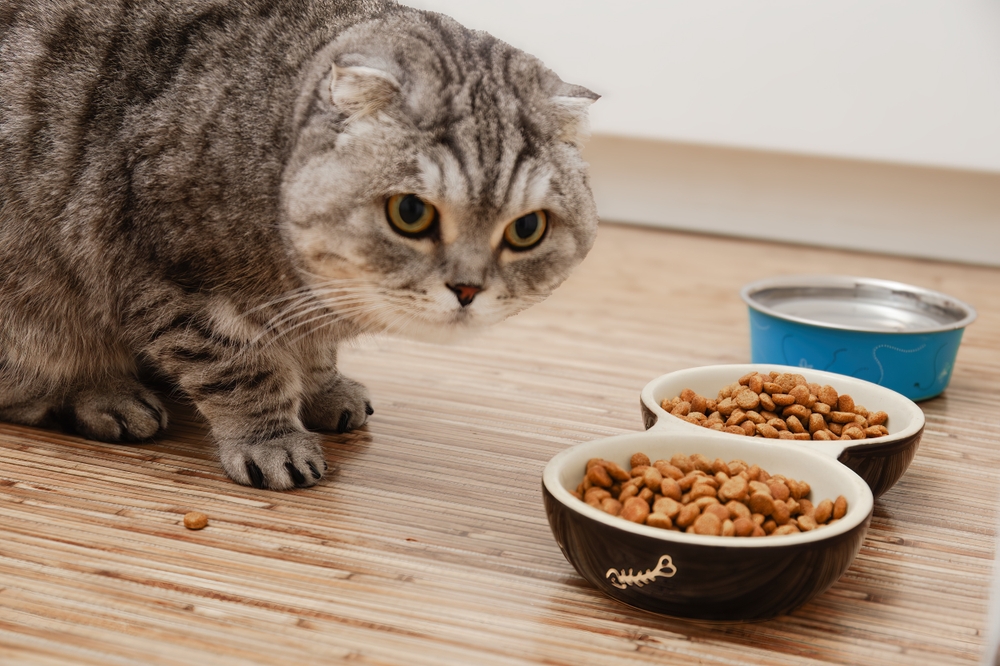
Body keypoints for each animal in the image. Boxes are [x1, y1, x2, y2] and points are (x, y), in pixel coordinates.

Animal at [0, 0, 600, 488]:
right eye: (410, 213)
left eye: (526, 229)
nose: (468, 289)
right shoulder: (176, 284)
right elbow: (240, 370)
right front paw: (271, 439)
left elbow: (313, 353)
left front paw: (321, 386)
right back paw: (104, 393)